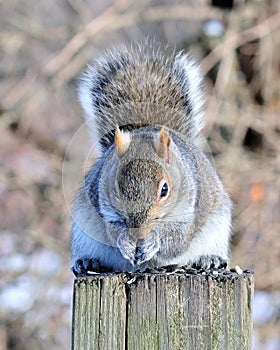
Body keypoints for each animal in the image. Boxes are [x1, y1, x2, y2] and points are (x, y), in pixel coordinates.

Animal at [70, 43, 232, 276]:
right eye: (115, 186)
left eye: (164, 190)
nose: (138, 232)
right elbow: (113, 232)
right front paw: (125, 242)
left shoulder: (189, 212)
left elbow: (175, 239)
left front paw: (153, 241)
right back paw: (88, 262)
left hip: (217, 227)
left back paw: (208, 259)